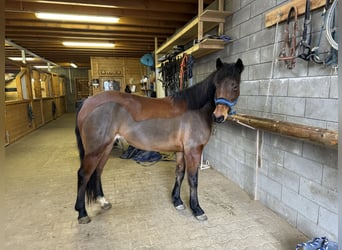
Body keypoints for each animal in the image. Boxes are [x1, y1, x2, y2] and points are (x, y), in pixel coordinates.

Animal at [75, 58, 243, 223]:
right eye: (216, 85)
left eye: (235, 85)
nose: (218, 116)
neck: (195, 109)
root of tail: (87, 102)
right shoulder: (193, 151)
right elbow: (193, 179)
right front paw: (197, 209)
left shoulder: (181, 151)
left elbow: (180, 173)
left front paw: (177, 201)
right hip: (95, 150)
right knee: (84, 174)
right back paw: (82, 213)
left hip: (106, 147)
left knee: (97, 171)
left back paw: (103, 201)